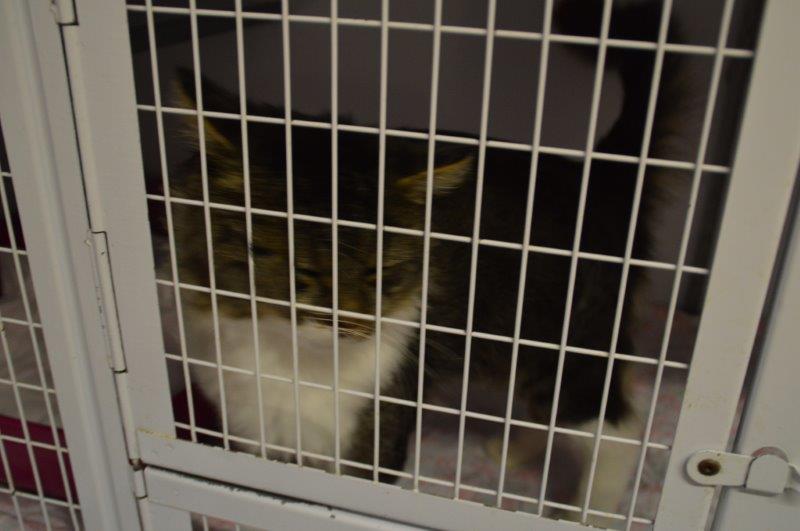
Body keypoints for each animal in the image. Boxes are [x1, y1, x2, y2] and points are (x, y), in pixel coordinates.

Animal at [159, 0, 696, 524]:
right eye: (302, 273)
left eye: (380, 275)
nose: (352, 327)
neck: (286, 358)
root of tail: (597, 176)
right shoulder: (254, 429)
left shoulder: (378, 421)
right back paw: (510, 450)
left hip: (567, 338)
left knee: (618, 430)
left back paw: (589, 513)